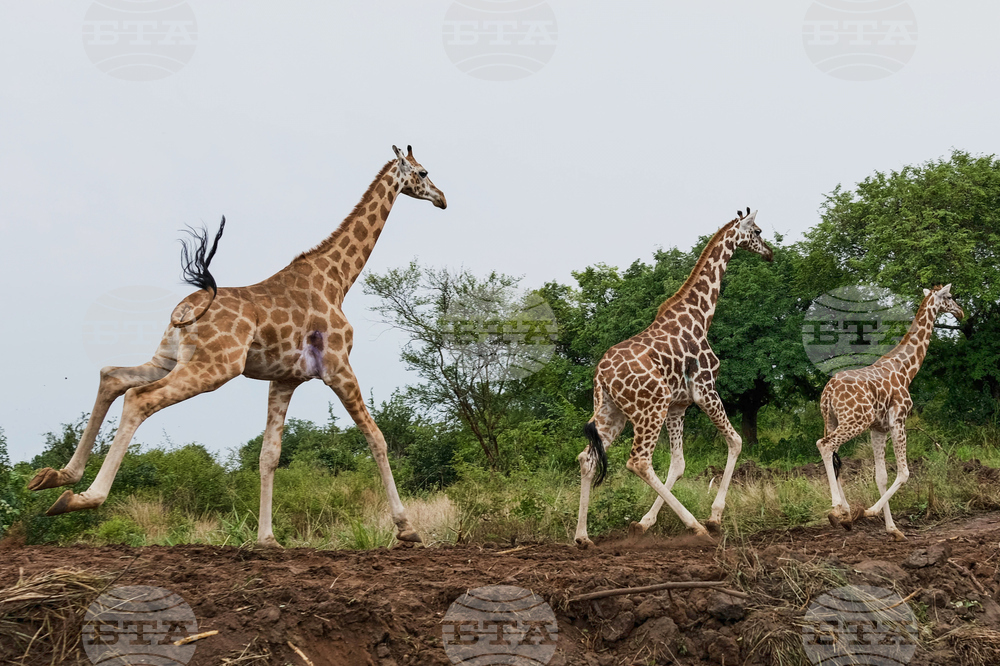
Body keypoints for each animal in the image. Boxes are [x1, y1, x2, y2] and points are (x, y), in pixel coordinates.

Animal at [28, 145, 447, 547]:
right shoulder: (337, 365)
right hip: (214, 366)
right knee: (140, 397)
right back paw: (84, 498)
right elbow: (377, 438)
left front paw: (267, 539)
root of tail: (185, 307)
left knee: (113, 376)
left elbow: (268, 455)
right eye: (424, 172)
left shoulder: (285, 379)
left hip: (170, 356)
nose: (442, 198)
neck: (337, 279)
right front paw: (407, 529)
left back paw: (57, 477)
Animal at [574, 208, 773, 548]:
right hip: (650, 406)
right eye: (757, 231)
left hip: (613, 411)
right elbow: (735, 441)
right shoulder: (705, 389)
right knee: (638, 461)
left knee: (587, 458)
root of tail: (601, 375)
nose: (770, 253)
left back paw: (582, 537)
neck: (701, 315)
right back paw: (696, 526)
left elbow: (678, 464)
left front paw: (643, 523)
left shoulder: (679, 405)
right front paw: (715, 517)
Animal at [817, 284, 964, 541]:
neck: (906, 370)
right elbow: (904, 472)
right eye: (949, 296)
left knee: (832, 454)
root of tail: (828, 393)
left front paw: (893, 529)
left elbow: (881, 477)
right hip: (855, 420)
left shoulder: (879, 429)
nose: (961, 312)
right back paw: (837, 509)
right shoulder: (899, 420)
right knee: (824, 445)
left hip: (833, 420)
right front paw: (868, 512)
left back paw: (844, 513)